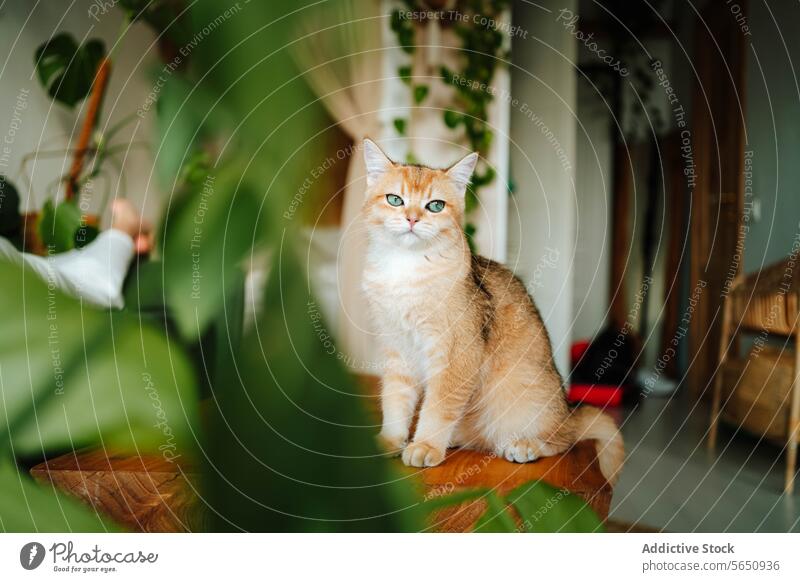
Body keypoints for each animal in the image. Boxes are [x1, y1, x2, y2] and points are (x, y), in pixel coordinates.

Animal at [360, 139, 624, 486]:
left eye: (435, 206)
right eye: (395, 200)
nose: (412, 219)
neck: (406, 270)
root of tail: (568, 411)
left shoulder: (457, 353)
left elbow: (439, 405)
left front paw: (426, 445)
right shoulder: (396, 348)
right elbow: (395, 399)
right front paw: (391, 439)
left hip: (521, 396)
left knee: (563, 441)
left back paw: (524, 445)